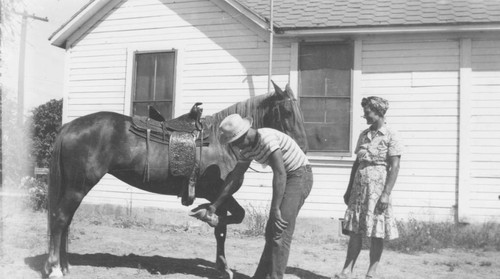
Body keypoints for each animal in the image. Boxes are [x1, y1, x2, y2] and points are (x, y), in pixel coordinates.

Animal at [44, 82, 308, 278]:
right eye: (287, 111)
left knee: (66, 221)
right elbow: (224, 227)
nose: (303, 146)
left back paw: (65, 266)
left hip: (74, 187)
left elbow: (228, 223)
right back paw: (55, 268)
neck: (223, 143)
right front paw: (222, 262)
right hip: (78, 187)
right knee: (60, 219)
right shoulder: (219, 193)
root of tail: (70, 126)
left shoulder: (221, 195)